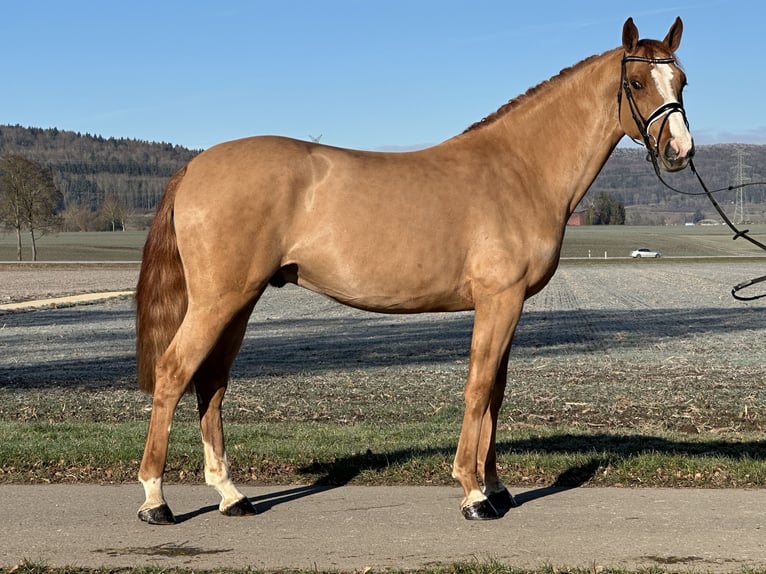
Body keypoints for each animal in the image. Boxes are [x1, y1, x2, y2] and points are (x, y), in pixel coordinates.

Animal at [135, 17, 694, 524]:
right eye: (636, 82)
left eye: (682, 81)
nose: (679, 152)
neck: (519, 168)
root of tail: (195, 166)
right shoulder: (499, 299)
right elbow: (478, 386)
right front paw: (473, 494)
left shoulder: (510, 305)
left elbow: (496, 392)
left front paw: (497, 487)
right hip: (218, 300)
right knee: (174, 372)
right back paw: (155, 499)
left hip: (241, 301)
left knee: (211, 383)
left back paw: (231, 495)